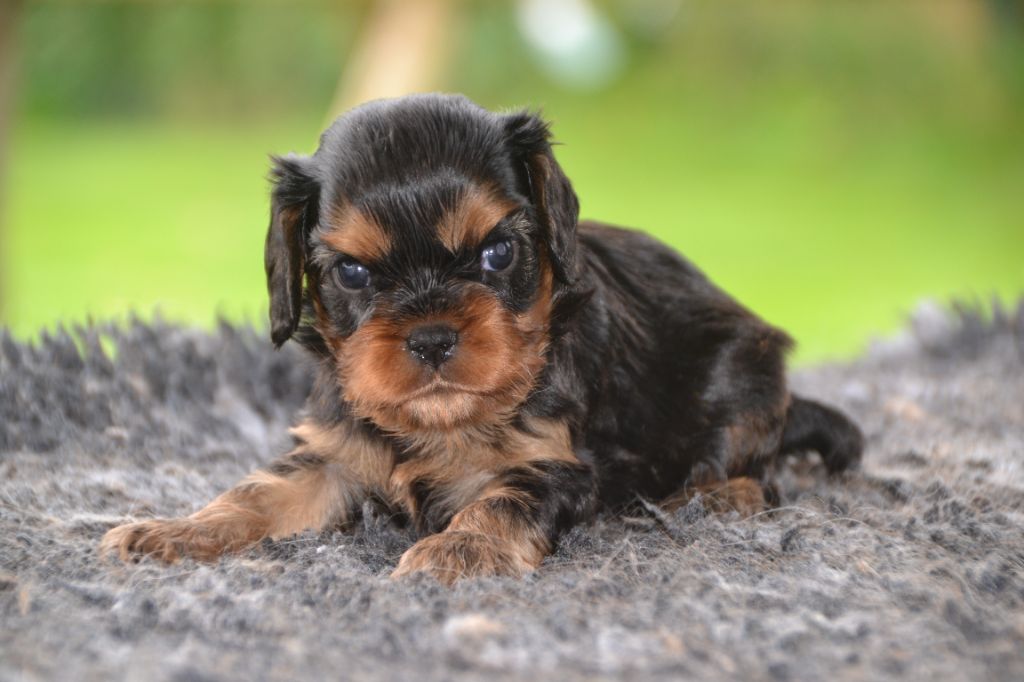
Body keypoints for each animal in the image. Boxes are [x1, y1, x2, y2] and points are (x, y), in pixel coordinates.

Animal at [99, 93, 860, 581]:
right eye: (351, 273)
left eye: (497, 254)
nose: (433, 337)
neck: (443, 424)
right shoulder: (335, 454)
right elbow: (256, 494)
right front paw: (175, 531)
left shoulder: (553, 463)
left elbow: (499, 501)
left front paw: (458, 551)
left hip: (745, 374)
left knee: (759, 473)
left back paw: (712, 499)